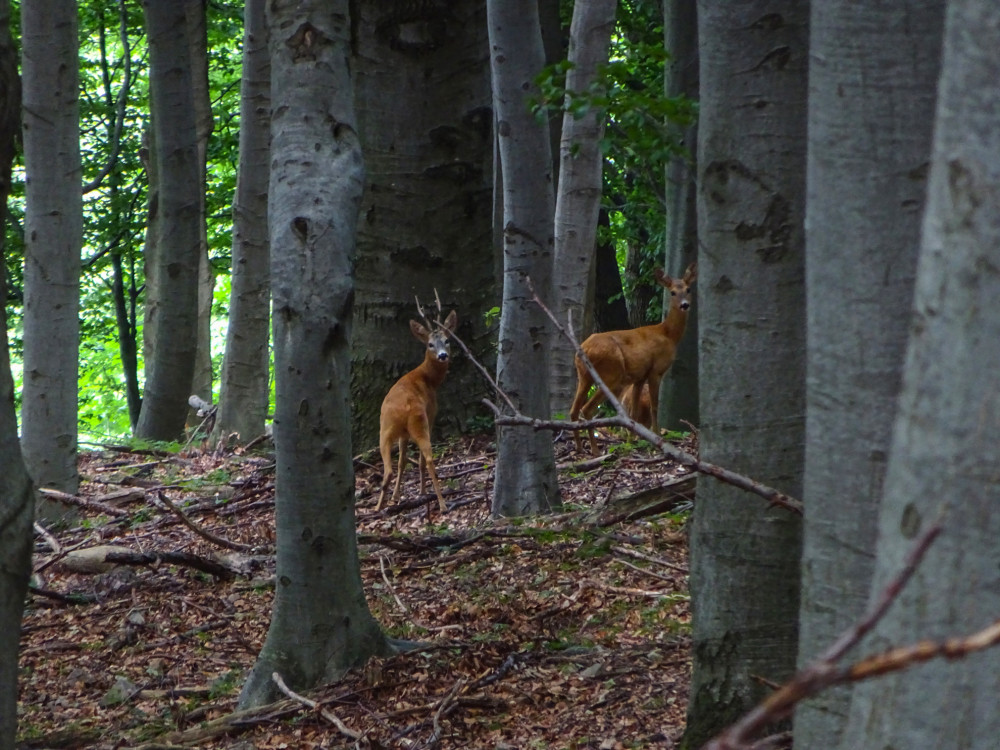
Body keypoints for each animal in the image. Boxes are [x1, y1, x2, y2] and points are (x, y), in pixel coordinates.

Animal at [374, 308, 458, 516]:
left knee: (389, 468)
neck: (428, 378)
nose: (443, 355)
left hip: (385, 429)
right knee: (427, 459)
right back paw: (442, 504)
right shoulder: (432, 413)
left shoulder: (403, 434)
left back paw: (379, 506)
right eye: (430, 344)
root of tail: (403, 408)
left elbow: (402, 461)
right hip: (420, 422)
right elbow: (417, 461)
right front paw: (421, 491)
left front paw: (396, 496)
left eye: (447, 340)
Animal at [568, 262, 700, 456]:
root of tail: (583, 349)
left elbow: (634, 410)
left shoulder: (639, 377)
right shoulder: (655, 370)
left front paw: (631, 441)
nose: (685, 305)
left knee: (573, 410)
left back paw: (579, 447)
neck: (668, 334)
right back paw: (595, 450)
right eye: (672, 292)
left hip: (584, 376)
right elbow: (654, 406)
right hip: (611, 374)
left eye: (688, 289)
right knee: (586, 409)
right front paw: (657, 437)